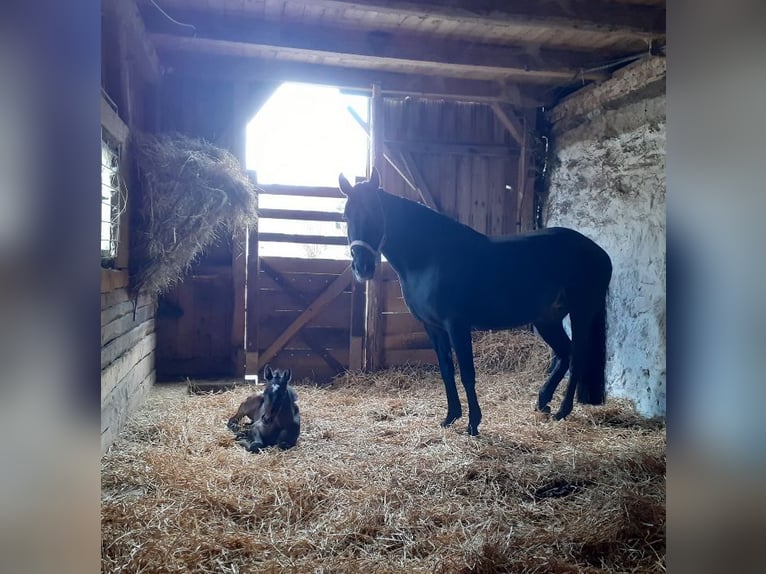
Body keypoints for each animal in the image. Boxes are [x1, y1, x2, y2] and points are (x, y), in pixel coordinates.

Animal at [340, 170, 616, 436]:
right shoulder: (433, 327)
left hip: (581, 313)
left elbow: (467, 373)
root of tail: (600, 253)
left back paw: (562, 410)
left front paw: (473, 424)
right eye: (346, 216)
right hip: (547, 319)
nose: (363, 267)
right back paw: (543, 401)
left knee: (577, 356)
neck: (430, 257)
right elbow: (446, 370)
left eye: (376, 211)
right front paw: (450, 417)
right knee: (565, 353)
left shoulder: (456, 324)